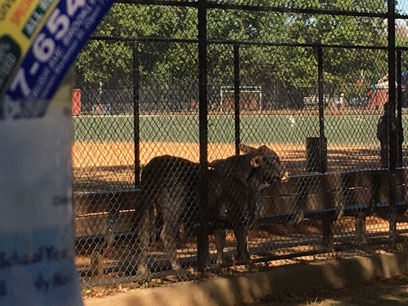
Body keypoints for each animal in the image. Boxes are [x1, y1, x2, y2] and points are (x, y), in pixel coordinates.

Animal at [135, 145, 288, 274]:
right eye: (272, 159)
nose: (284, 170)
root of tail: (153, 166)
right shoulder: (238, 218)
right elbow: (242, 243)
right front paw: (250, 264)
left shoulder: (218, 219)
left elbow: (220, 241)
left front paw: (219, 264)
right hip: (173, 209)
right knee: (166, 234)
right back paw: (177, 268)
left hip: (148, 206)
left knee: (144, 235)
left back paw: (142, 270)